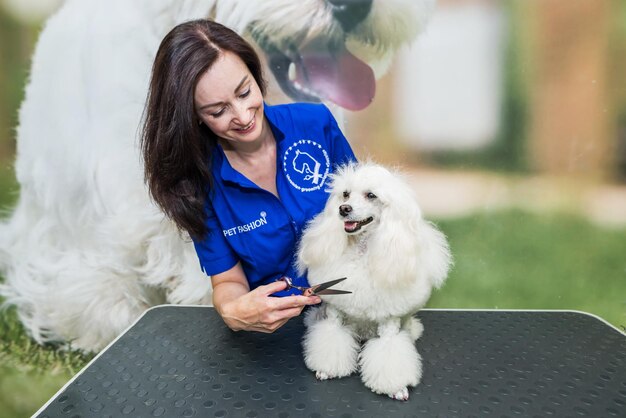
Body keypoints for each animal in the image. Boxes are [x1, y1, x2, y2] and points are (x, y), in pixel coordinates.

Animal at [296, 162, 448, 400]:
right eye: (345, 194)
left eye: (371, 195)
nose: (344, 209)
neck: (362, 250)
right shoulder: (335, 311)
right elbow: (331, 337)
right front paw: (327, 368)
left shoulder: (389, 320)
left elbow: (389, 351)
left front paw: (396, 387)